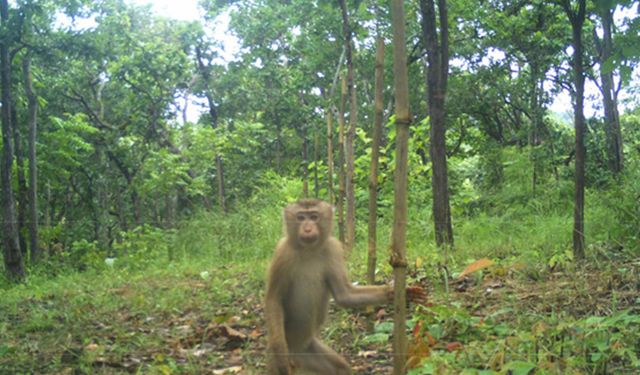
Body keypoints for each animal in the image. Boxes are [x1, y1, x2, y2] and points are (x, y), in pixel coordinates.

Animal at [264, 198, 424, 374]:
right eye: (300, 217)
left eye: (313, 217)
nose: (307, 228)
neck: (308, 250)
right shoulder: (282, 253)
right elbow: (274, 299)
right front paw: (280, 352)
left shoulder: (333, 248)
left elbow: (344, 295)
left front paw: (394, 292)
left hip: (307, 351)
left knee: (340, 369)